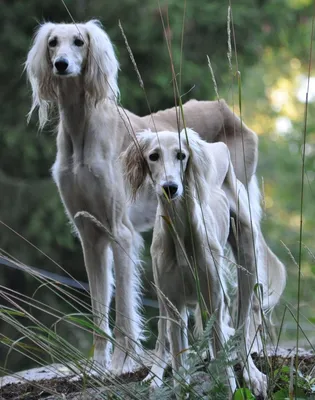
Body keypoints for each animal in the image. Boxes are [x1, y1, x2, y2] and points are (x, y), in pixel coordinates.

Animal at [25, 18, 286, 388]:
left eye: (79, 42)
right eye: (52, 43)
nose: (61, 65)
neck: (82, 129)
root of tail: (225, 107)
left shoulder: (120, 231)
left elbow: (123, 311)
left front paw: (119, 364)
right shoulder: (89, 232)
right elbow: (98, 306)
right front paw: (97, 367)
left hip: (241, 227)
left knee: (247, 303)